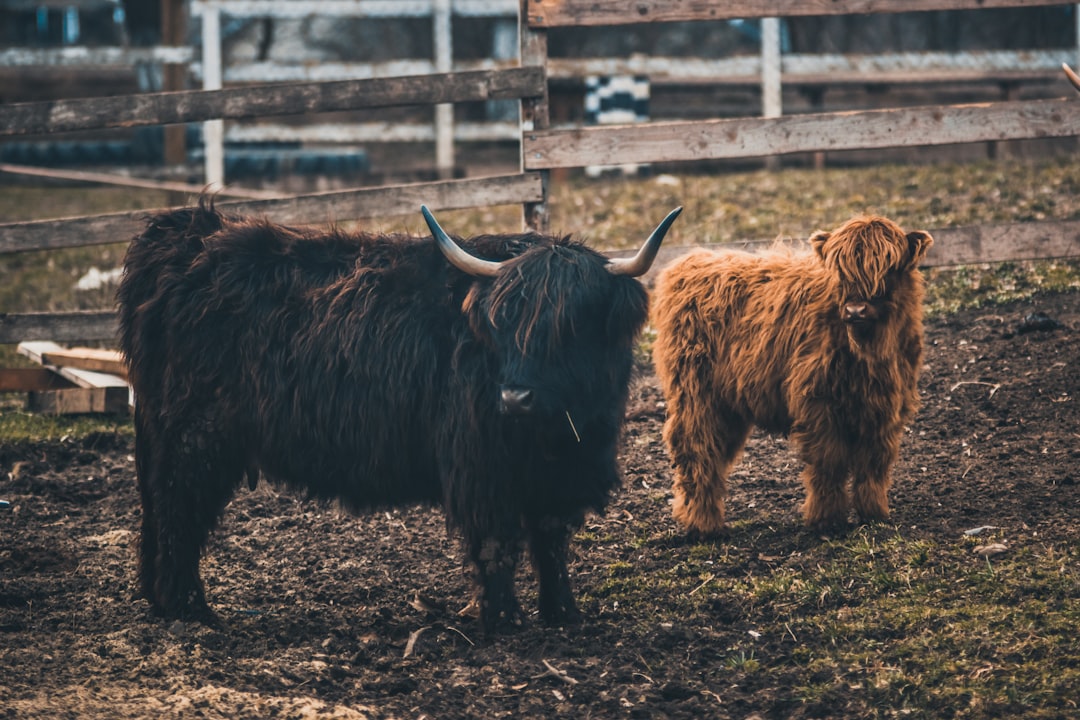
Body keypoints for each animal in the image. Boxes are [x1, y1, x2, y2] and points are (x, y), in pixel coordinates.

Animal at [116, 199, 673, 634]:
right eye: (503, 322)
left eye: (570, 325)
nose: (514, 399)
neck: (559, 434)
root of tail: (184, 232)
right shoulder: (483, 470)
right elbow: (498, 545)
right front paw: (505, 619)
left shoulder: (562, 474)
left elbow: (552, 542)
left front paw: (564, 613)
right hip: (196, 437)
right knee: (179, 512)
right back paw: (191, 610)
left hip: (165, 433)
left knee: (159, 510)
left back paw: (162, 602)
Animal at [652, 213, 933, 535]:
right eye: (840, 270)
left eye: (889, 267)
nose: (855, 310)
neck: (870, 349)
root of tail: (688, 262)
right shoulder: (818, 403)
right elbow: (829, 463)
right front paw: (827, 520)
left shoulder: (886, 407)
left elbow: (874, 463)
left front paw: (874, 514)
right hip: (696, 395)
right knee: (696, 449)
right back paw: (702, 524)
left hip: (728, 404)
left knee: (714, 452)